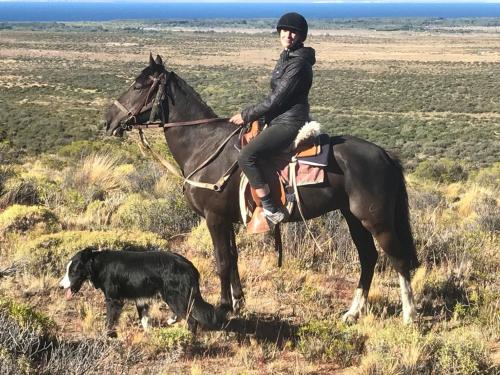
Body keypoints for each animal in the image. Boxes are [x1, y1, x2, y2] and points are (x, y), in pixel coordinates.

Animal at [59, 247, 229, 338]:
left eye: (72, 272)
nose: (60, 286)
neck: (98, 264)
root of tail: (190, 267)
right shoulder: (141, 299)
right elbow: (144, 320)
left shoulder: (113, 300)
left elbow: (109, 320)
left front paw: (107, 336)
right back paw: (171, 321)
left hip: (173, 296)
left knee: (192, 320)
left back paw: (190, 339)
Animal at [103, 54, 420, 324]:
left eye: (138, 85)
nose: (108, 121)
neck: (203, 143)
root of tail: (384, 154)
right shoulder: (228, 219)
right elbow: (233, 259)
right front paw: (238, 301)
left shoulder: (215, 218)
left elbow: (221, 261)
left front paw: (223, 307)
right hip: (353, 217)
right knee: (368, 258)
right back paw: (352, 313)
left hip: (376, 219)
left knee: (398, 260)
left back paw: (408, 316)